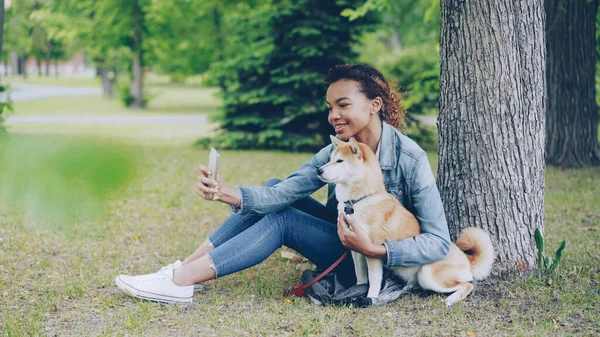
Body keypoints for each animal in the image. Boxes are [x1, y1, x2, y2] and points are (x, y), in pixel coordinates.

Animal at [316, 135, 494, 306]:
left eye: (340, 161)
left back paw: (451, 299)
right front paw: (357, 290)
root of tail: (467, 259)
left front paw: (371, 297)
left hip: (428, 274)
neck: (357, 201)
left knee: (467, 284)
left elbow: (374, 280)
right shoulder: (355, 250)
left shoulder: (370, 250)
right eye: (330, 159)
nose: (318, 170)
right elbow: (361, 276)